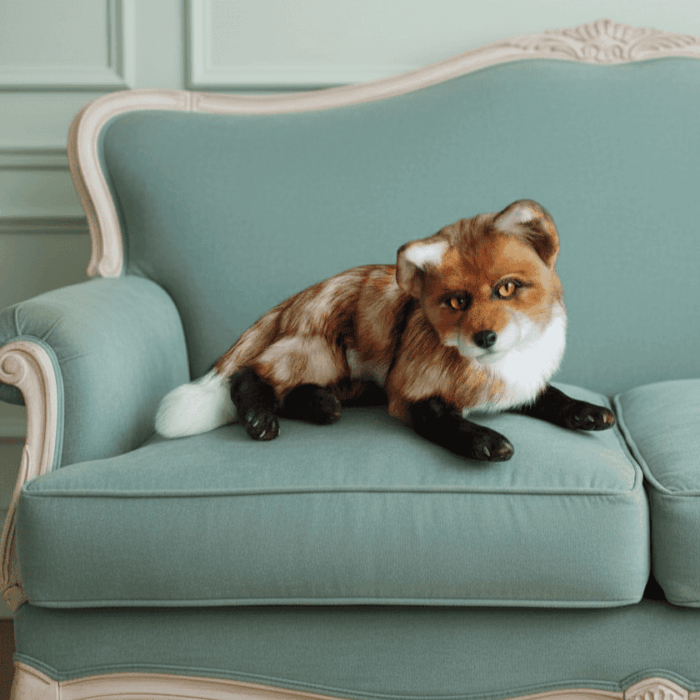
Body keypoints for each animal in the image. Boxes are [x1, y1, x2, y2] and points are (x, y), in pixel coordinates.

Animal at [156, 200, 615, 461]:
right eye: (457, 302)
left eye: (506, 288)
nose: (485, 339)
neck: (499, 369)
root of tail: (301, 296)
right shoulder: (407, 391)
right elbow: (442, 418)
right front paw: (481, 440)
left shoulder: (520, 387)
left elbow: (553, 396)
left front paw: (584, 411)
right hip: (322, 354)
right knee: (250, 372)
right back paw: (259, 417)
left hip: (347, 378)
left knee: (296, 391)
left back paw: (319, 406)